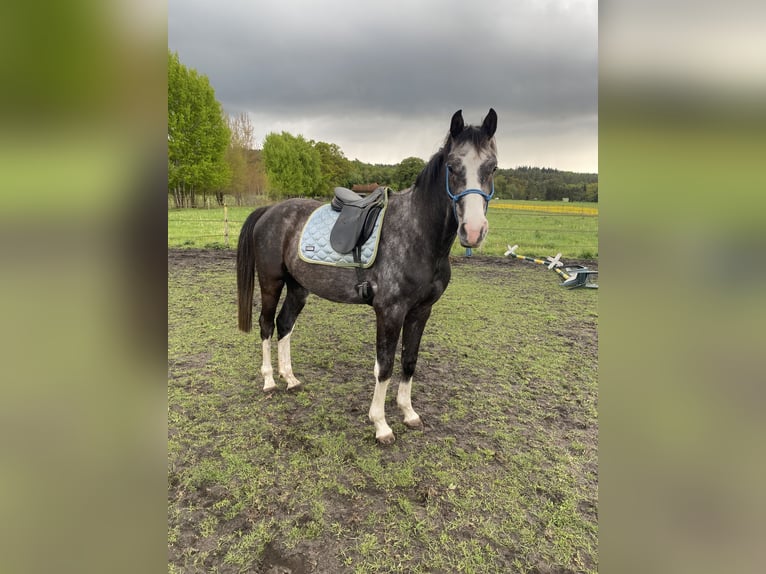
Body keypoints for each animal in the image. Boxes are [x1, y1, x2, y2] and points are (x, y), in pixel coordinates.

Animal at [237, 108, 498, 444]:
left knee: (284, 324)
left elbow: (409, 361)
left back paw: (290, 378)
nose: (474, 231)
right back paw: (269, 381)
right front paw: (381, 424)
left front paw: (409, 413)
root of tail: (270, 211)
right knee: (267, 325)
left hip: (298, 288)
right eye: (453, 166)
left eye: (492, 167)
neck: (417, 234)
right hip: (271, 282)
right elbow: (384, 366)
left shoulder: (421, 311)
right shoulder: (390, 311)